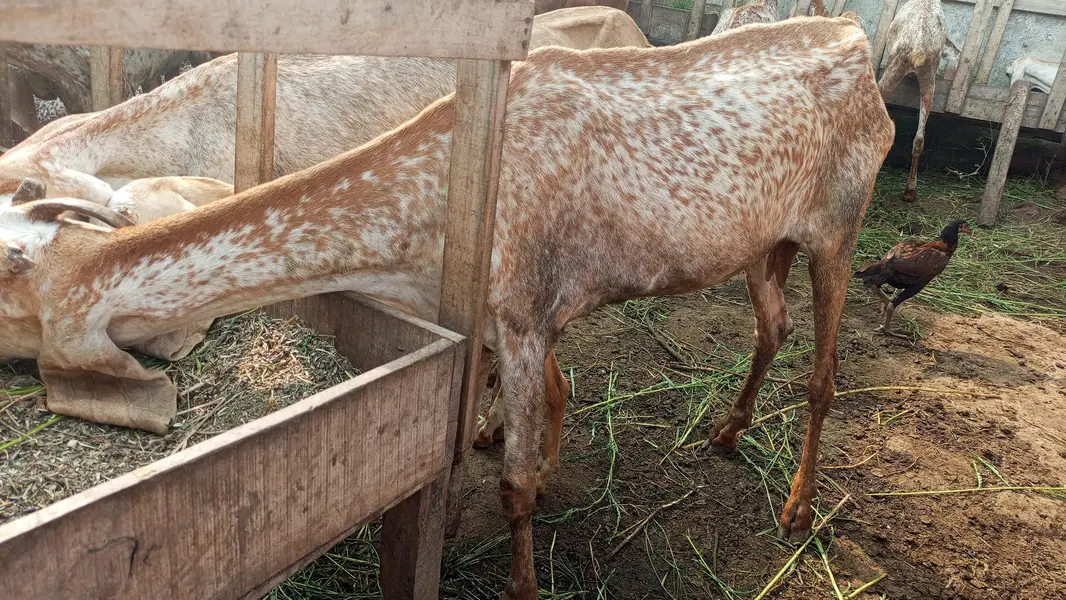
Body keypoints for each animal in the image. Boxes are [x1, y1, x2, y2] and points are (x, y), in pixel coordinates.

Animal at [0, 16, 893, 599]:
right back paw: (727, 431)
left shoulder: (525, 315)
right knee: (772, 327)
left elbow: (517, 484)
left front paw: (523, 583)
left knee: (824, 376)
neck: (425, 208)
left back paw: (798, 505)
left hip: (841, 223)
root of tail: (858, 39)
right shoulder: (484, 326)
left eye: (9, 301)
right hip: (764, 244)